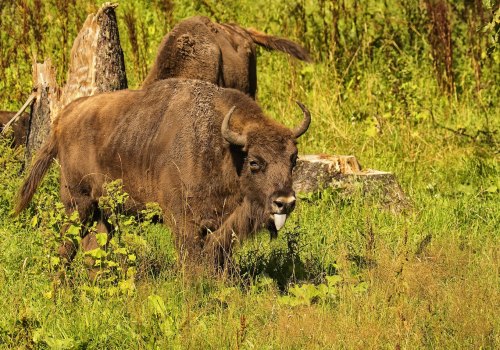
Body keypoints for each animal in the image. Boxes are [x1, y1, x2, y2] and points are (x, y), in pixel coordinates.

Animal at [15, 78, 310, 266]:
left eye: (293, 158)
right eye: (255, 162)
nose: (285, 202)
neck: (225, 149)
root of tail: (62, 118)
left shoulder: (222, 226)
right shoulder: (183, 220)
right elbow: (191, 261)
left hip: (102, 210)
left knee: (93, 247)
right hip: (79, 204)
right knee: (67, 244)